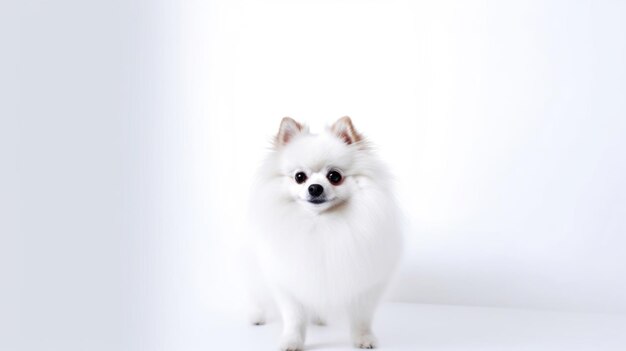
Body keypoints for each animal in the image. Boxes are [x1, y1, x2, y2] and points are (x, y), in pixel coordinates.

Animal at [246, 117, 402, 350]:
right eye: (299, 177)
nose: (315, 188)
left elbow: (361, 317)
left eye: (334, 176)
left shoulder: (364, 283)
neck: (321, 223)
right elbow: (294, 318)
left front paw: (363, 338)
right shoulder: (288, 282)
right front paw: (291, 341)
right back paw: (257, 316)